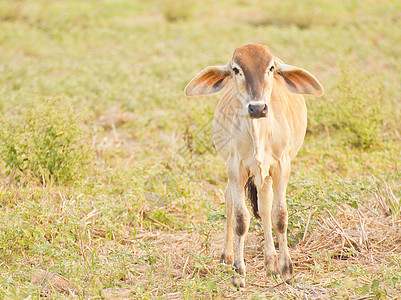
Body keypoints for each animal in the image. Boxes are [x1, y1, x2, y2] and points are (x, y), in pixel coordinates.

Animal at [184, 43, 322, 288]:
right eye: (236, 69)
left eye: (271, 68)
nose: (257, 108)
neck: (258, 132)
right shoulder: (235, 168)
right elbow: (240, 219)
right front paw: (238, 272)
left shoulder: (281, 167)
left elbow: (279, 216)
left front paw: (285, 269)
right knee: (230, 201)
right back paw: (227, 257)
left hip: (264, 176)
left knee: (265, 206)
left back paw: (270, 263)